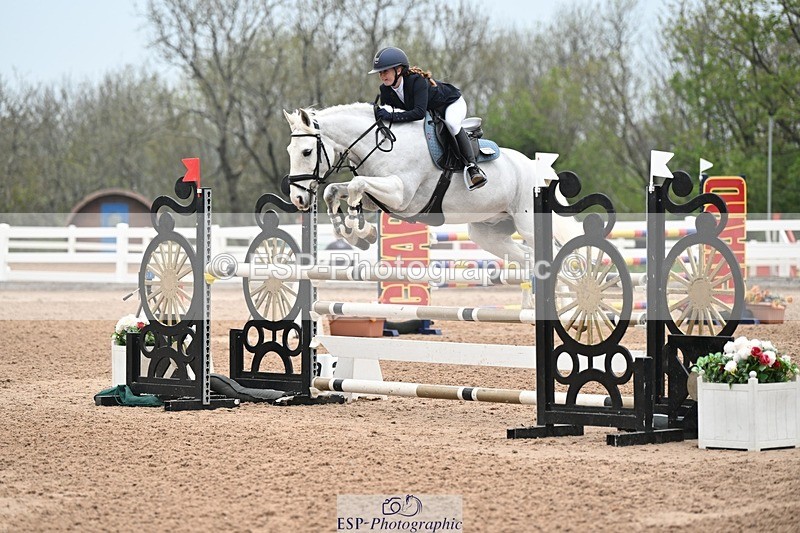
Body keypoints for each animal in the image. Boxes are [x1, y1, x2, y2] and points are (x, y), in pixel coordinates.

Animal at [283, 103, 579, 264]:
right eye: (289, 150)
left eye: (306, 152)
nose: (298, 199)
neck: (381, 144)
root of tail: (537, 169)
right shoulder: (380, 197)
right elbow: (335, 191)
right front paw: (356, 235)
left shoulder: (401, 195)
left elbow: (356, 186)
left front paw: (361, 231)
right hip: (487, 233)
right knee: (526, 258)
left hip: (528, 224)